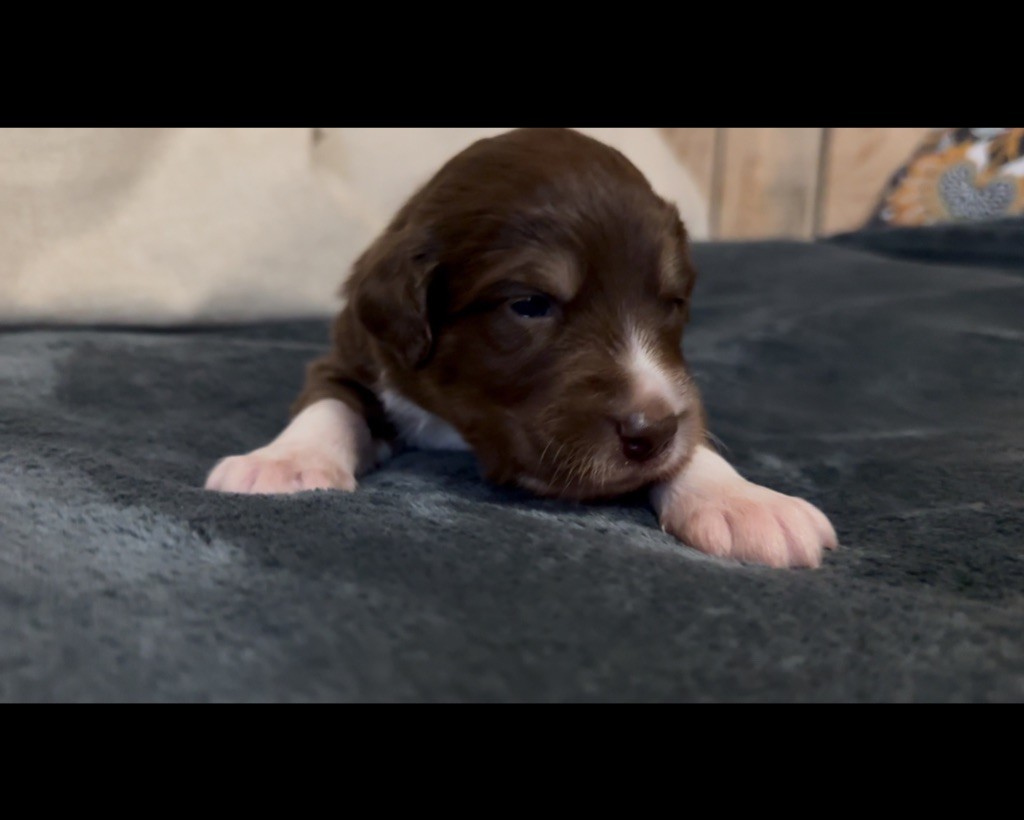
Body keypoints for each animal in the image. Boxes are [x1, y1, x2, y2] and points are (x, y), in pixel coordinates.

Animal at [205, 128, 837, 568]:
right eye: (531, 304)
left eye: (673, 302)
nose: (651, 433)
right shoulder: (350, 356)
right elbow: (329, 404)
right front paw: (283, 463)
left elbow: (692, 441)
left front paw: (745, 502)